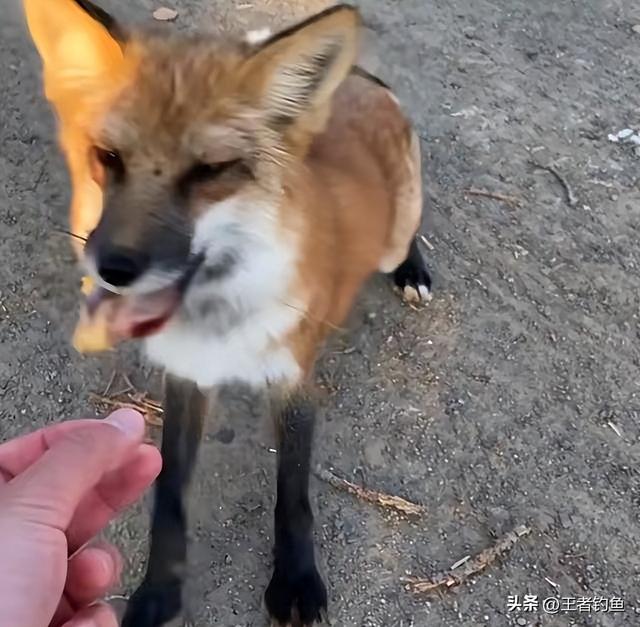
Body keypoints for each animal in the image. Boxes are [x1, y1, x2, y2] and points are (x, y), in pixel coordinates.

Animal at [22, 2, 432, 624]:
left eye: (210, 171)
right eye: (109, 159)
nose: (112, 266)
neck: (218, 321)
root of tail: (360, 85)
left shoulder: (294, 380)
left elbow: (293, 495)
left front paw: (296, 579)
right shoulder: (187, 376)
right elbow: (169, 495)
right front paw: (159, 592)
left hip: (394, 231)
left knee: (408, 236)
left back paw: (413, 270)